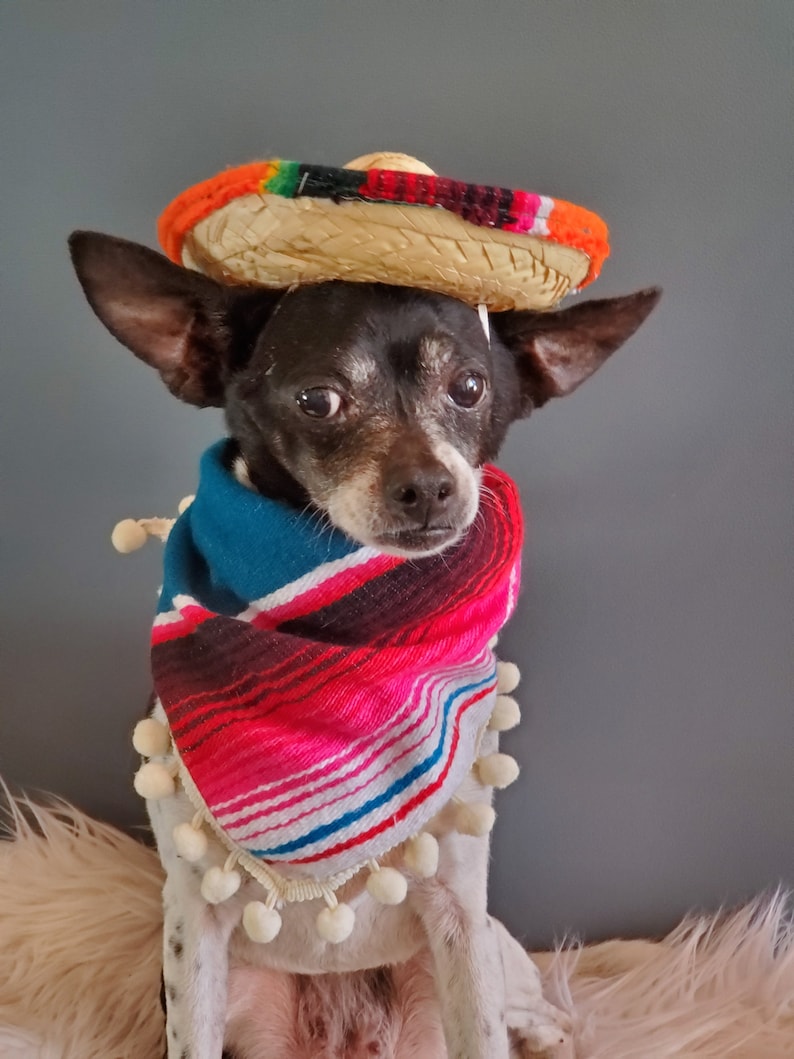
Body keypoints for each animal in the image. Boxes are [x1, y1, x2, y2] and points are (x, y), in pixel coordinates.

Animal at [69, 231, 664, 1059]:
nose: (430, 485)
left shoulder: (459, 915)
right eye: (319, 399)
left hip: (489, 951)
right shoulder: (192, 923)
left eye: (470, 387)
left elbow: (484, 1030)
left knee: (539, 1016)